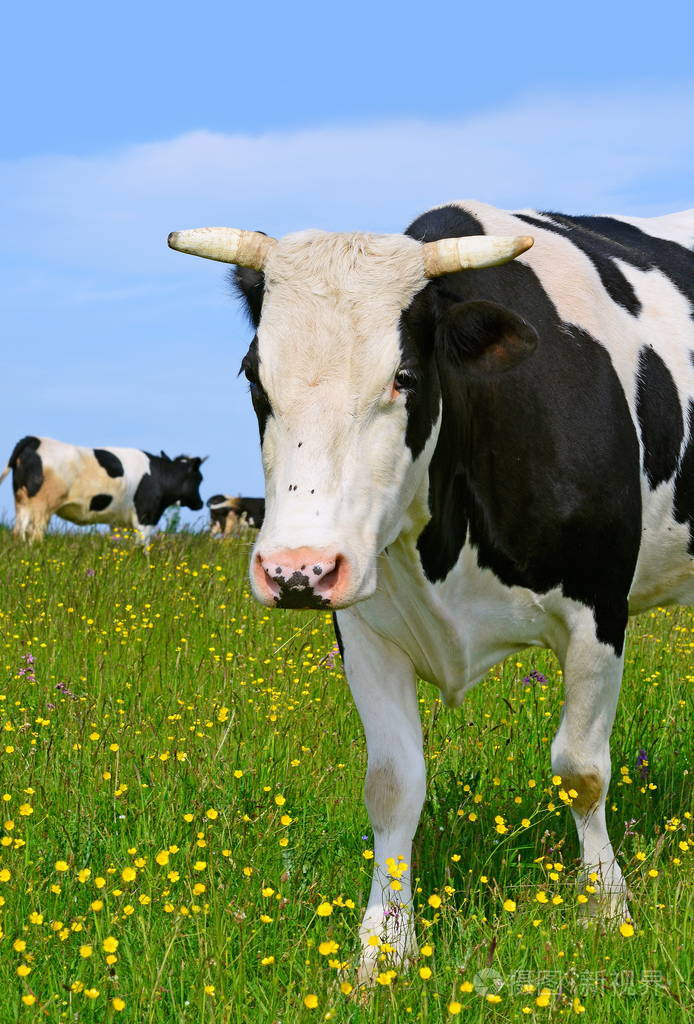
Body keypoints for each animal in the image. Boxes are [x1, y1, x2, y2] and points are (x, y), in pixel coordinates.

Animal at [0, 434, 205, 544]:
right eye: (199, 479)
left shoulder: (118, 521)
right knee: (35, 534)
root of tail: (34, 439)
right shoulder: (146, 515)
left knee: (19, 532)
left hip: (22, 500)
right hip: (42, 505)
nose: (200, 503)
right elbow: (143, 546)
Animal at [168, 197, 694, 974]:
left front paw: (607, 906)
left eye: (405, 377)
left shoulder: (599, 606)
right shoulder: (362, 626)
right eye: (254, 376)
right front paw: (384, 947)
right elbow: (393, 786)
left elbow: (582, 769)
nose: (296, 569)